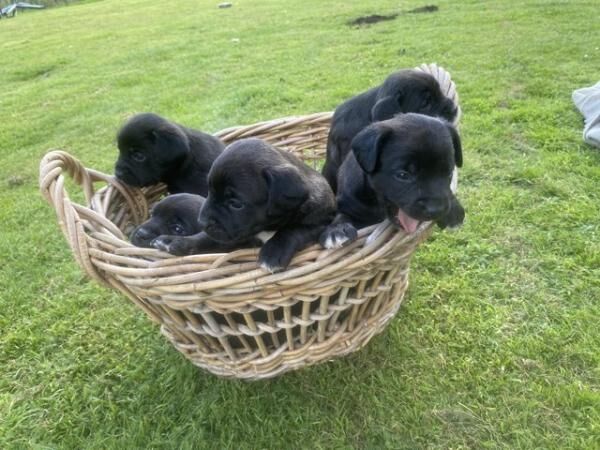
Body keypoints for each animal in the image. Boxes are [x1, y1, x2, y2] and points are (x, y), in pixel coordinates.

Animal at [158, 137, 338, 270]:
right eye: (209, 191)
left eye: (236, 204)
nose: (202, 222)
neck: (268, 228)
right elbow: (205, 238)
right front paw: (174, 241)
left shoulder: (322, 221)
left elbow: (293, 230)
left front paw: (273, 251)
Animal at [318, 111, 464, 248]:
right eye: (403, 175)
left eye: (448, 173)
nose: (436, 210)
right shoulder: (346, 203)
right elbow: (341, 215)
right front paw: (337, 230)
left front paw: (454, 210)